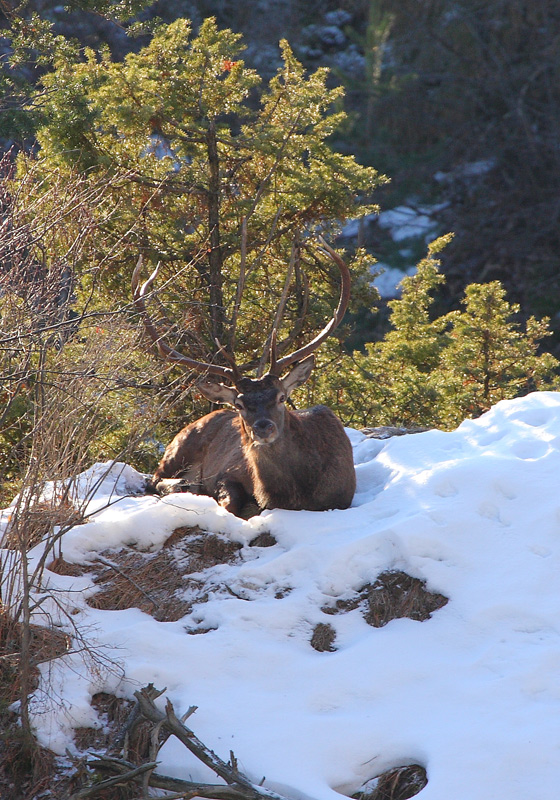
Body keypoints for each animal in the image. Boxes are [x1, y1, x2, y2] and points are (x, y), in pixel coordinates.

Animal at [132, 241, 356, 517]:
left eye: (281, 397)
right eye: (239, 404)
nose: (263, 428)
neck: (293, 496)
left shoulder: (341, 498)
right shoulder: (227, 472)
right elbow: (229, 502)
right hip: (180, 444)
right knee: (153, 479)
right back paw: (182, 484)